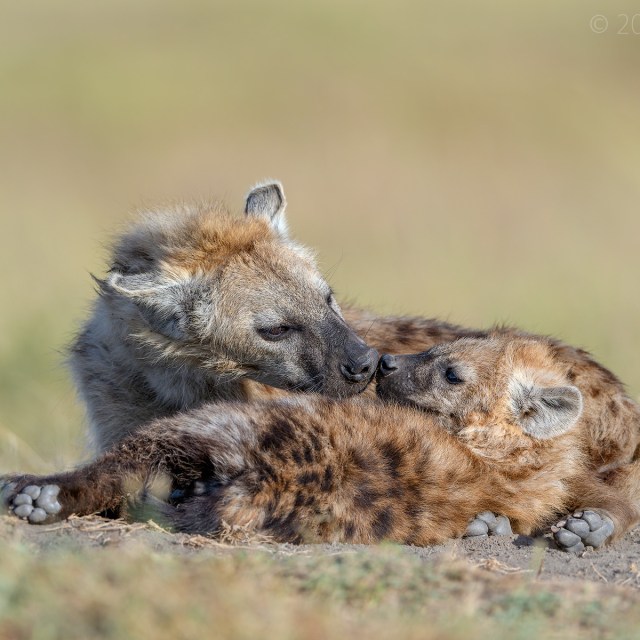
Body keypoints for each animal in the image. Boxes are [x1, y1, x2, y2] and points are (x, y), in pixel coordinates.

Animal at [2, 335, 629, 552]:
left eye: (452, 373)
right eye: (437, 347)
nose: (386, 361)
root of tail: (257, 476)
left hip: (215, 424)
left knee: (116, 467)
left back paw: (35, 494)